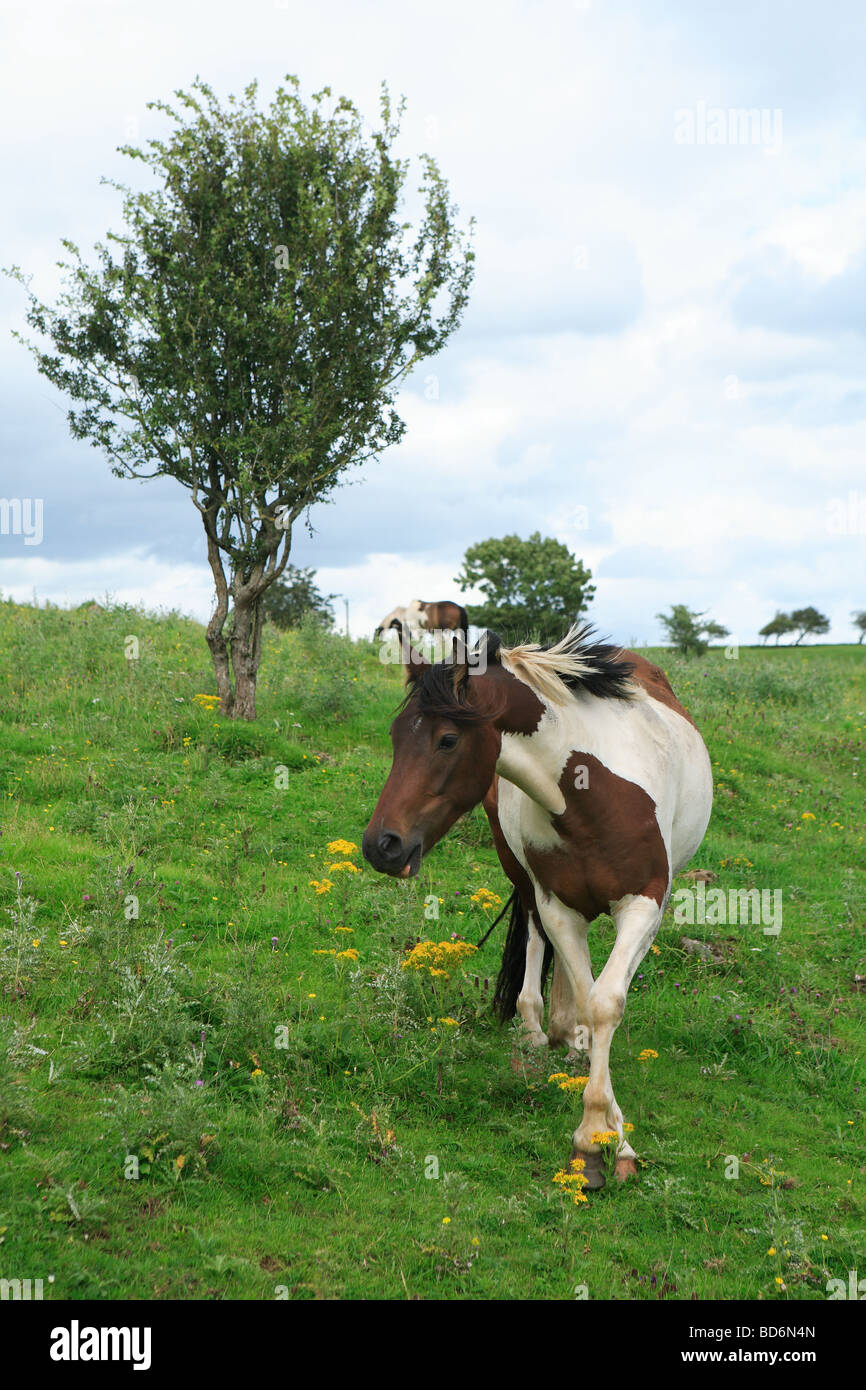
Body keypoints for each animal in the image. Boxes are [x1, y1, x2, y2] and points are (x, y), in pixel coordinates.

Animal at [362, 625, 713, 1187]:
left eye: (447, 739)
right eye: (397, 737)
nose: (382, 845)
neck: (590, 791)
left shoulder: (643, 904)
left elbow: (605, 1002)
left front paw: (603, 1137)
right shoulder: (556, 907)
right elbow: (586, 994)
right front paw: (601, 1134)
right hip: (525, 881)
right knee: (536, 946)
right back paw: (542, 1031)